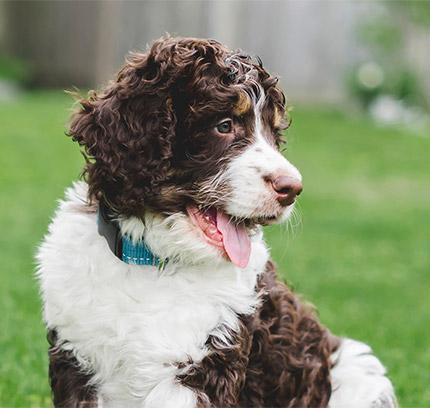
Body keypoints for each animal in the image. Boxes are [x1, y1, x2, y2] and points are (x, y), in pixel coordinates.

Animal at [37, 36, 396, 406]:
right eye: (224, 126)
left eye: (272, 133)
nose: (292, 188)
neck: (152, 262)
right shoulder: (76, 359)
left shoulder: (205, 367)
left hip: (359, 373)